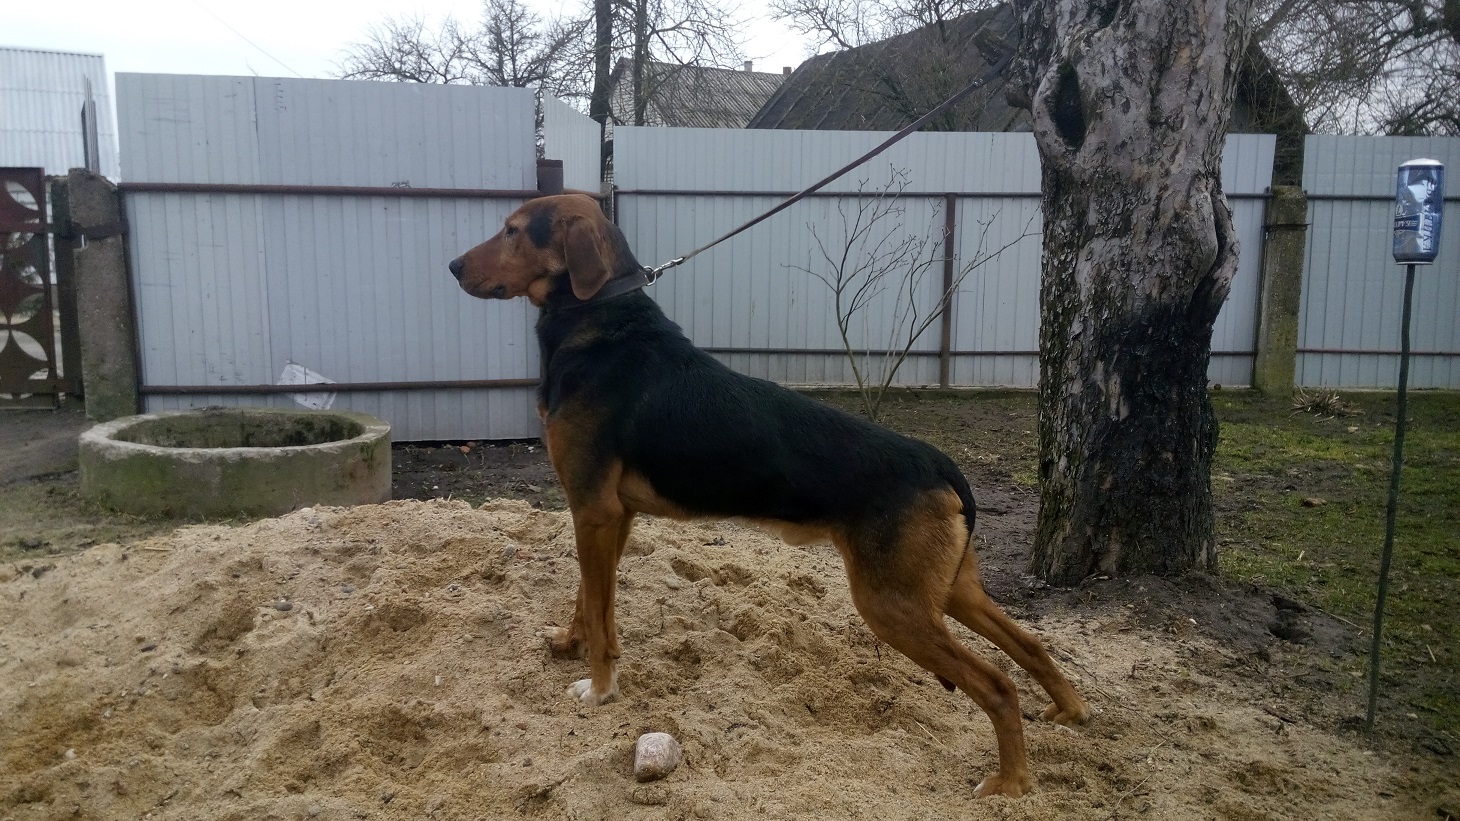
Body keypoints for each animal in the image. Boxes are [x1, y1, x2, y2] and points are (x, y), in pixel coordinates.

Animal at [449, 193, 1089, 797]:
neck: (598, 315)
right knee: (1031, 646)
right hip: (948, 591)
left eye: (512, 231)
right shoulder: (610, 516)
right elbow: (588, 600)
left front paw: (600, 688)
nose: (452, 266)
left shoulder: (594, 510)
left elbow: (601, 616)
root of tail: (941, 465)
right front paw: (570, 643)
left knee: (999, 686)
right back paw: (1068, 711)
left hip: (893, 605)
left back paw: (1010, 782)